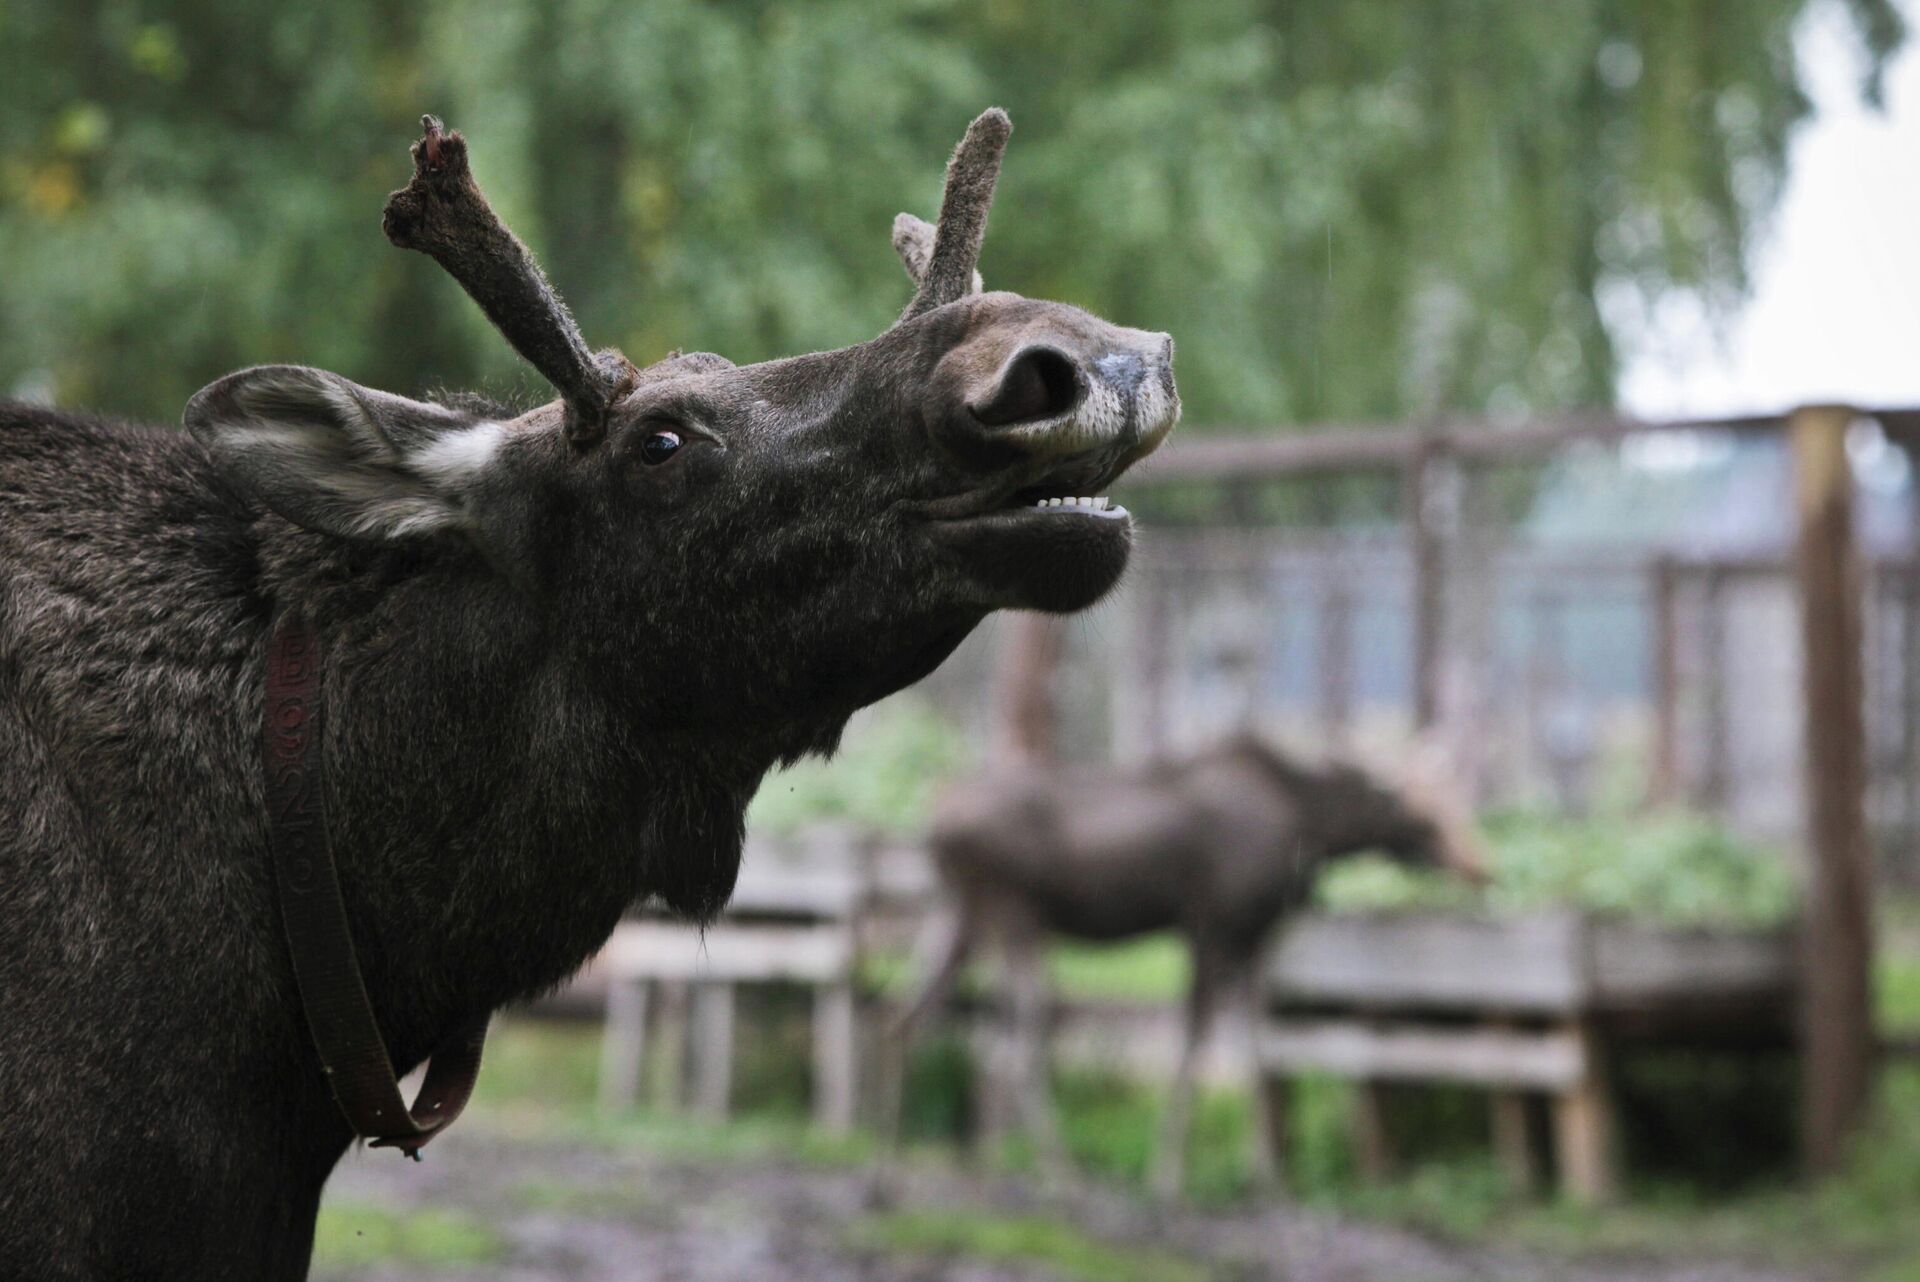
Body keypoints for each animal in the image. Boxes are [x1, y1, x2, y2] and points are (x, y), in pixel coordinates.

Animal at [887, 736, 1482, 1197]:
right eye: (1425, 815)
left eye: (1460, 801)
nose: (1479, 867)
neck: (1309, 827)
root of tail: (931, 822)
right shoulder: (1211, 926)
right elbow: (1196, 1046)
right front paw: (1168, 1175)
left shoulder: (1252, 938)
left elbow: (1258, 1054)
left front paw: (1267, 1177)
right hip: (1014, 914)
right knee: (1012, 1042)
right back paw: (1061, 1170)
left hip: (957, 913)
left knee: (911, 1018)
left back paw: (893, 1155)